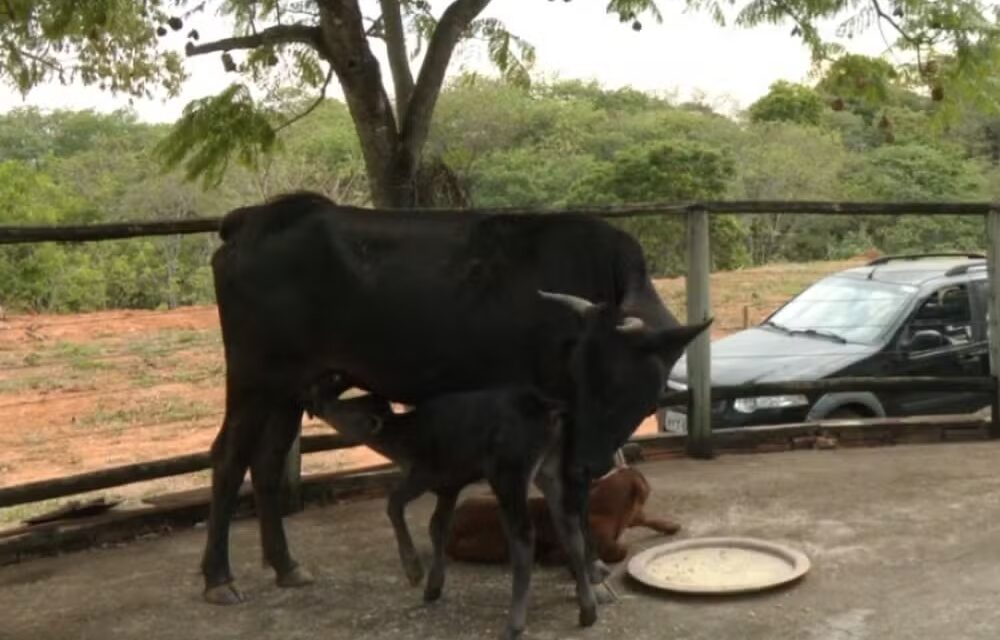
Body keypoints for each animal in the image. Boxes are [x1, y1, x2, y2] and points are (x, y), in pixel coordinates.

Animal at [203, 191, 702, 606]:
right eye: (582, 374)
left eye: (616, 383)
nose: (589, 461)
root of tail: (254, 219)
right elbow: (566, 492)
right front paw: (592, 572)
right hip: (252, 376)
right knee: (229, 457)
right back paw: (217, 577)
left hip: (288, 387)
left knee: (266, 462)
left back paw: (285, 565)